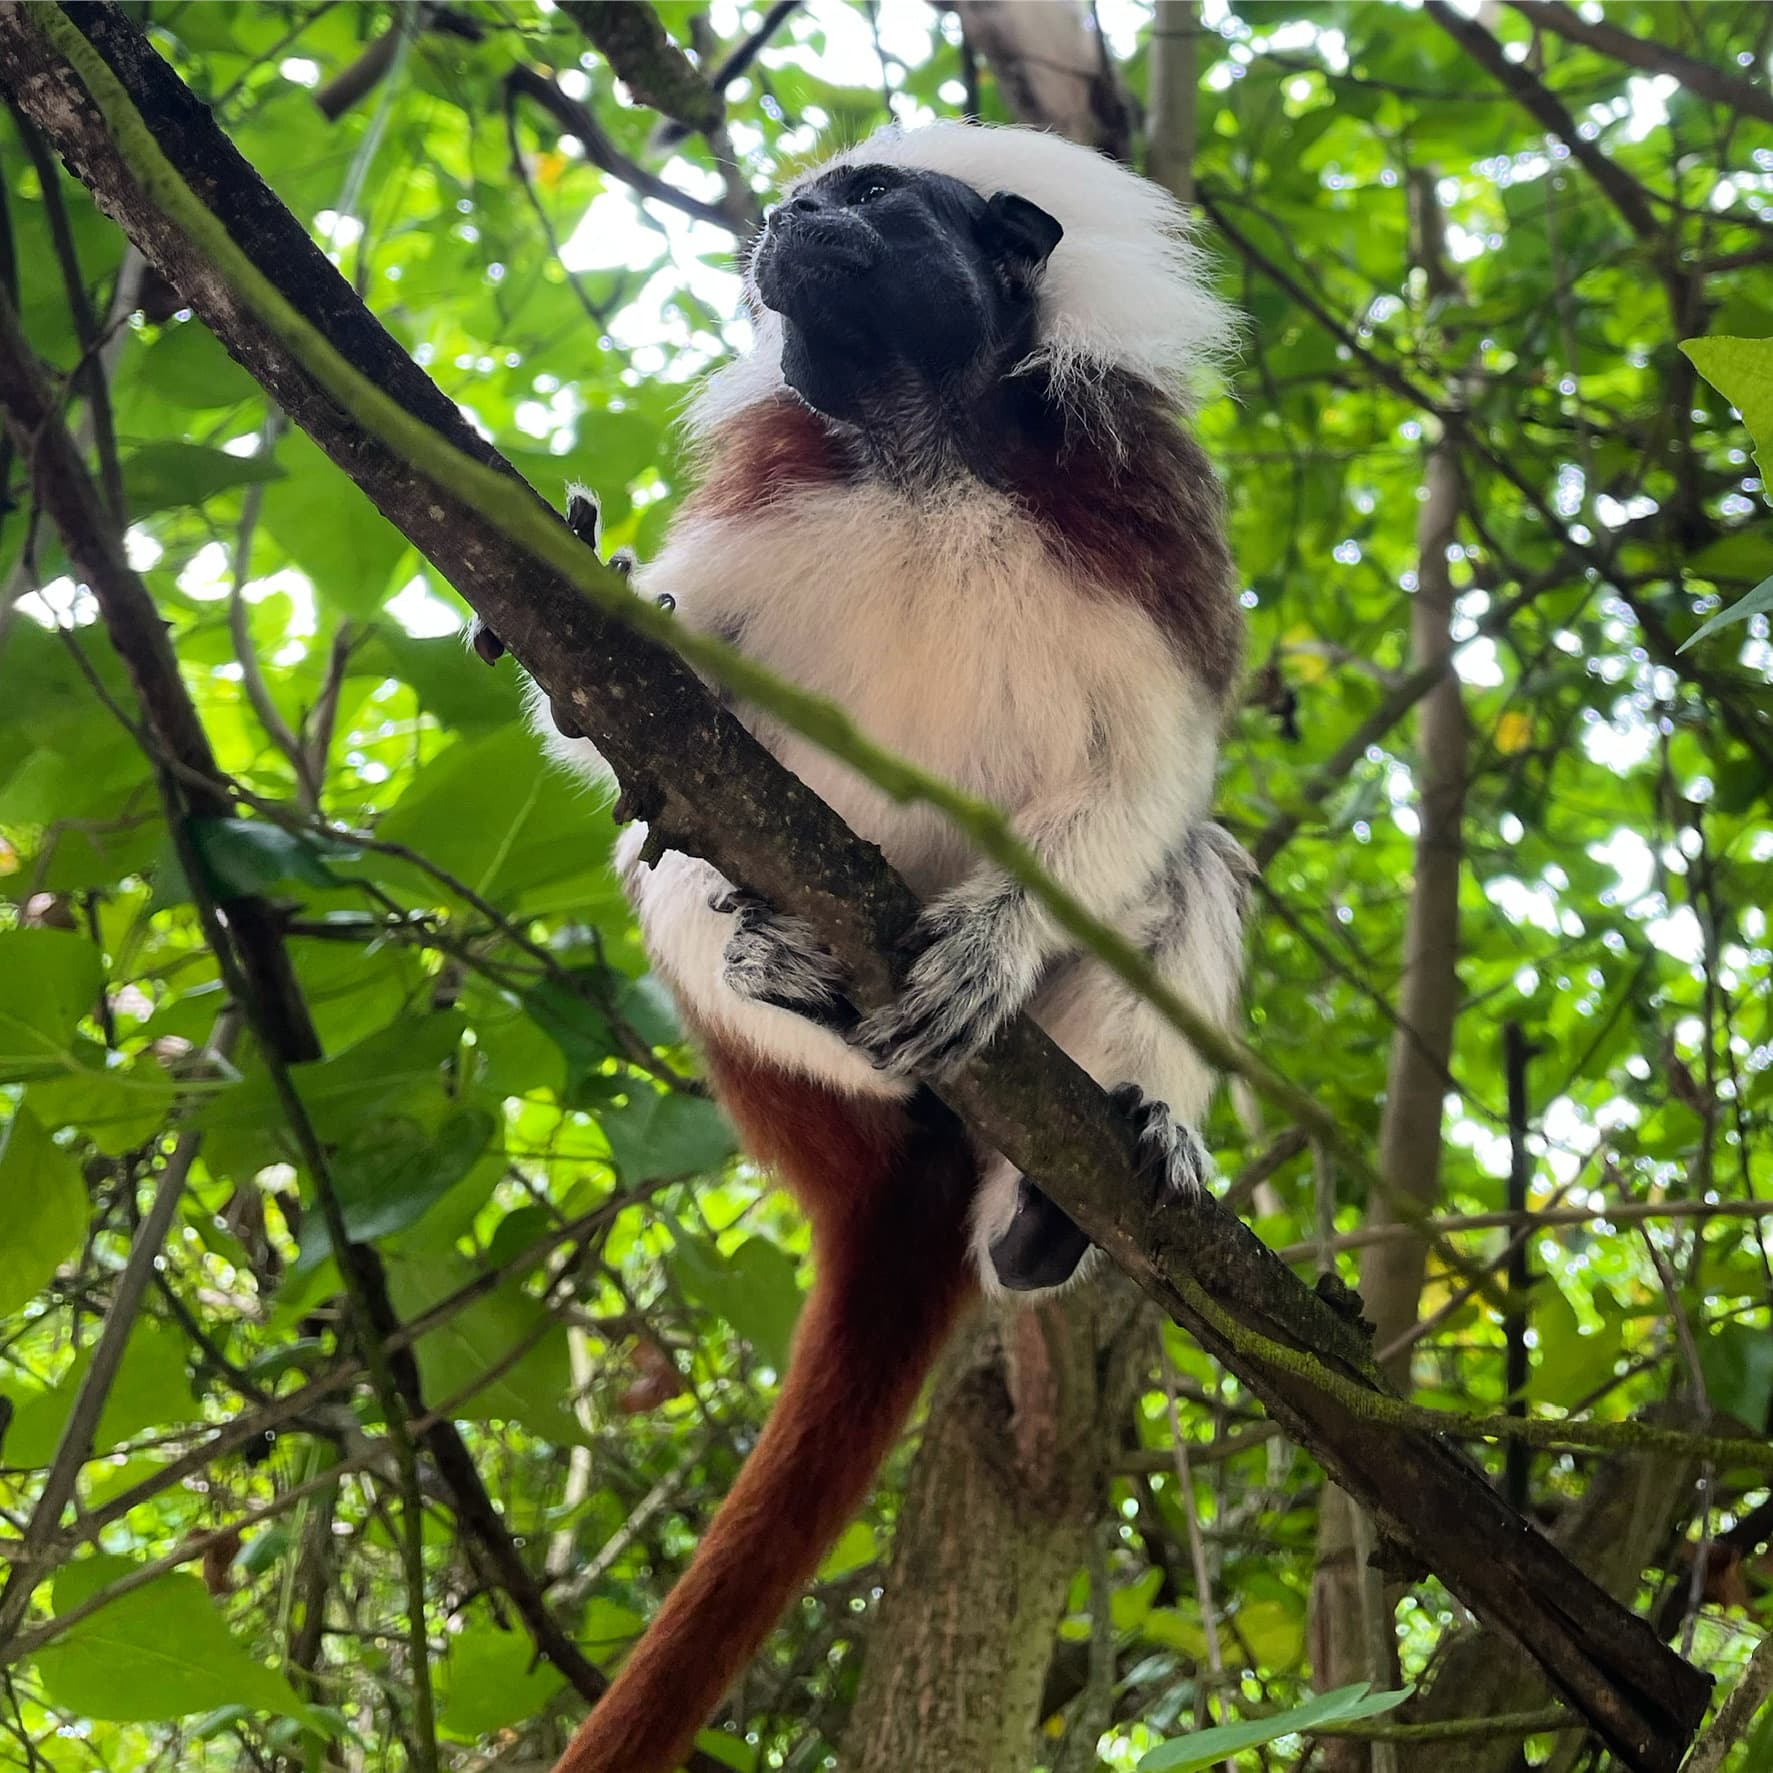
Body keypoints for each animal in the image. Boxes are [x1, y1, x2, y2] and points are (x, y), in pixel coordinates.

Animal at [495, 122, 1251, 1773]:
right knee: (675, 852)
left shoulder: (1136, 502)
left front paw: (993, 942)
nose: (784, 214)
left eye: (869, 199)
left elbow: (1150, 776)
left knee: (1188, 871)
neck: (922, 447)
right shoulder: (771, 498)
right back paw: (789, 983)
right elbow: (621, 737)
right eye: (808, 195)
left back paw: (1073, 1188)